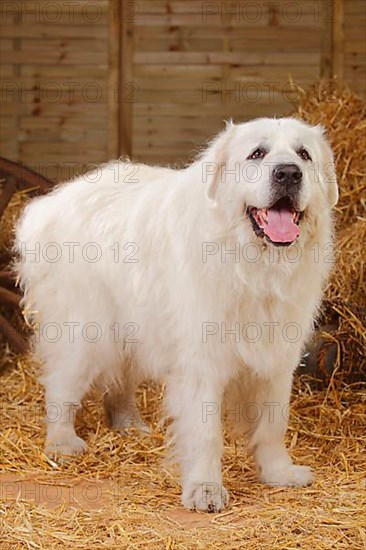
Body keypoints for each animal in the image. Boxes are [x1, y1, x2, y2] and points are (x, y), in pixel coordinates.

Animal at [15, 118, 338, 516]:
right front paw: (205, 488)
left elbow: (273, 424)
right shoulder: (201, 362)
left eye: (303, 154)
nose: (289, 173)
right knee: (61, 387)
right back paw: (61, 443)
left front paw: (278, 472)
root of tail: (50, 203)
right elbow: (206, 432)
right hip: (85, 335)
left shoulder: (276, 358)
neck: (251, 264)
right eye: (257, 154)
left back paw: (129, 425)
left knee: (120, 382)